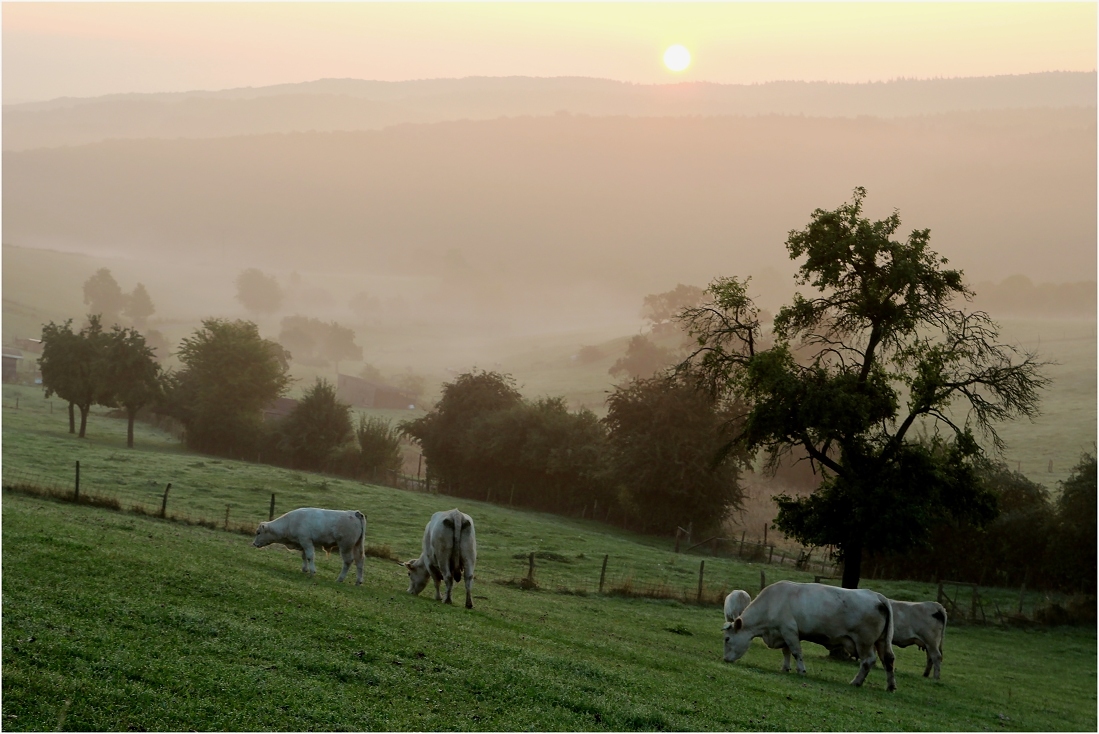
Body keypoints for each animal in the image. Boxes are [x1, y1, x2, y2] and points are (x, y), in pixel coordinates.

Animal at [725, 580, 896, 690]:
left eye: (727, 639)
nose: (725, 659)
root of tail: (877, 595)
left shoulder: (789, 630)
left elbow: (796, 652)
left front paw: (801, 670)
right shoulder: (783, 633)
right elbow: (786, 651)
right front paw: (785, 668)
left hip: (864, 641)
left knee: (868, 661)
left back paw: (856, 682)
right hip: (881, 641)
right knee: (888, 659)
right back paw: (890, 686)